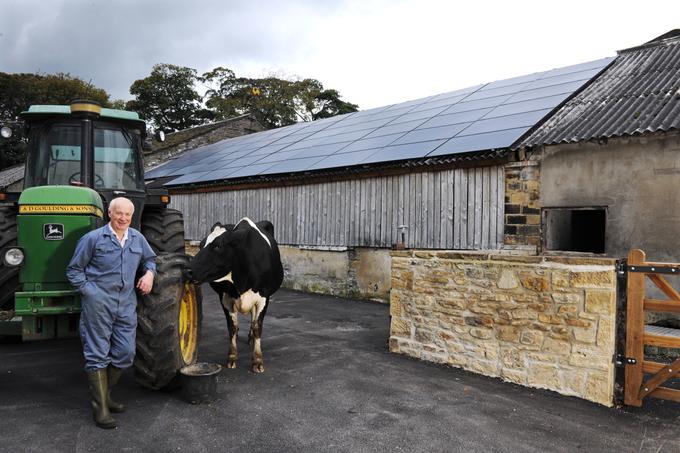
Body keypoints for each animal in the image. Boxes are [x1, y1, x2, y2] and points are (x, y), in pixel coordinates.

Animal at [185, 218, 282, 370]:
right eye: (201, 245)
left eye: (218, 246)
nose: (188, 270)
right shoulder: (225, 298)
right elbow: (232, 327)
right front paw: (232, 356)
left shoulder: (263, 297)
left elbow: (257, 327)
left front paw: (257, 360)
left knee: (253, 318)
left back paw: (251, 338)